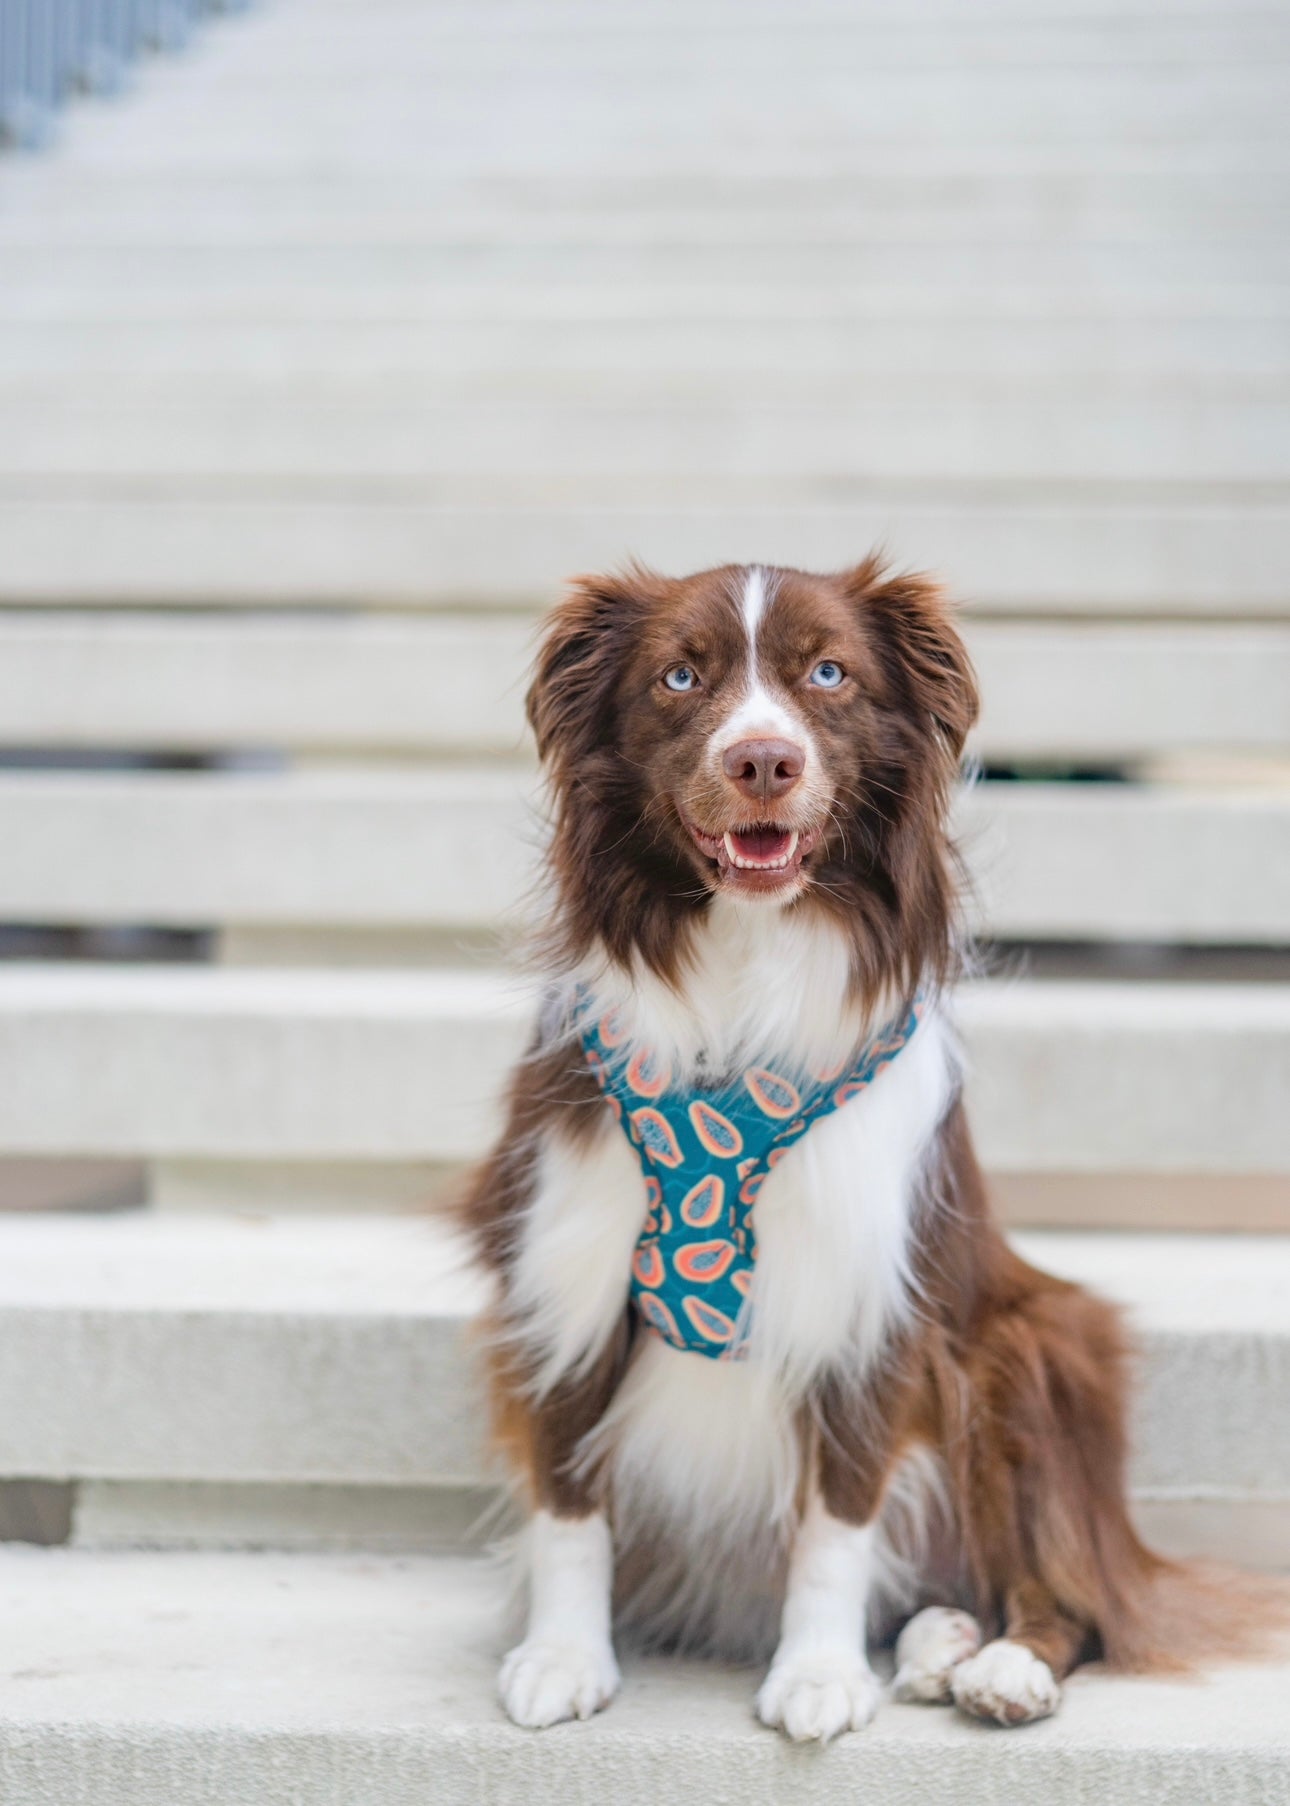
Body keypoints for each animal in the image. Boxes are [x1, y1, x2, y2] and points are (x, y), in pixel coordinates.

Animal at [457, 559, 1271, 1733]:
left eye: (830, 675)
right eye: (680, 676)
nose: (763, 760)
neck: (747, 961)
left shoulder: (862, 1286)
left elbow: (837, 1520)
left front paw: (818, 1673)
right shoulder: (568, 1260)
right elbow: (569, 1491)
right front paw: (565, 1655)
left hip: (1031, 1341)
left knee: (1072, 1593)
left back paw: (1000, 1664)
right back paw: (937, 1638)